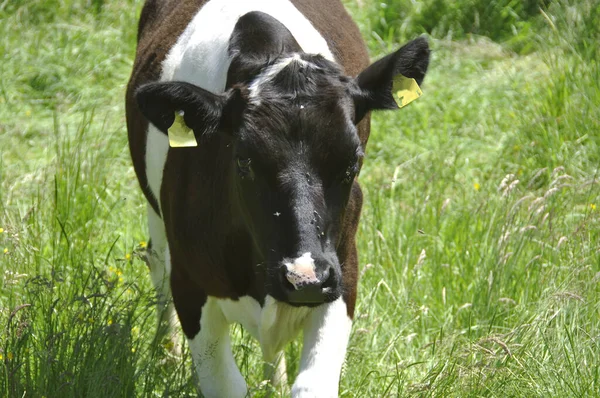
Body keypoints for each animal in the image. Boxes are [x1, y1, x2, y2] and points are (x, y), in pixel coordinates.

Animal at [126, 0, 428, 394]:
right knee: (158, 265)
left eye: (354, 161)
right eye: (243, 160)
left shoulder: (343, 270)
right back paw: (168, 356)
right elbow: (227, 385)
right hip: (158, 220)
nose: (304, 277)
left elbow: (312, 386)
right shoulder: (191, 282)